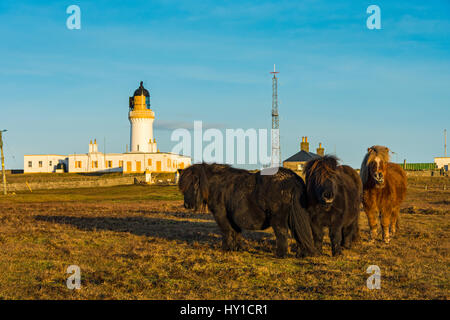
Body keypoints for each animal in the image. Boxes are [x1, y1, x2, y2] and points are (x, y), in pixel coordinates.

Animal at [178, 164, 318, 258]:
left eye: (191, 185)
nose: (186, 205)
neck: (214, 185)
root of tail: (293, 179)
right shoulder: (232, 217)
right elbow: (236, 232)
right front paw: (236, 248)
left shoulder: (220, 214)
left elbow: (226, 231)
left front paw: (226, 248)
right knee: (297, 234)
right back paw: (301, 253)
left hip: (278, 219)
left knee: (282, 233)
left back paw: (280, 254)